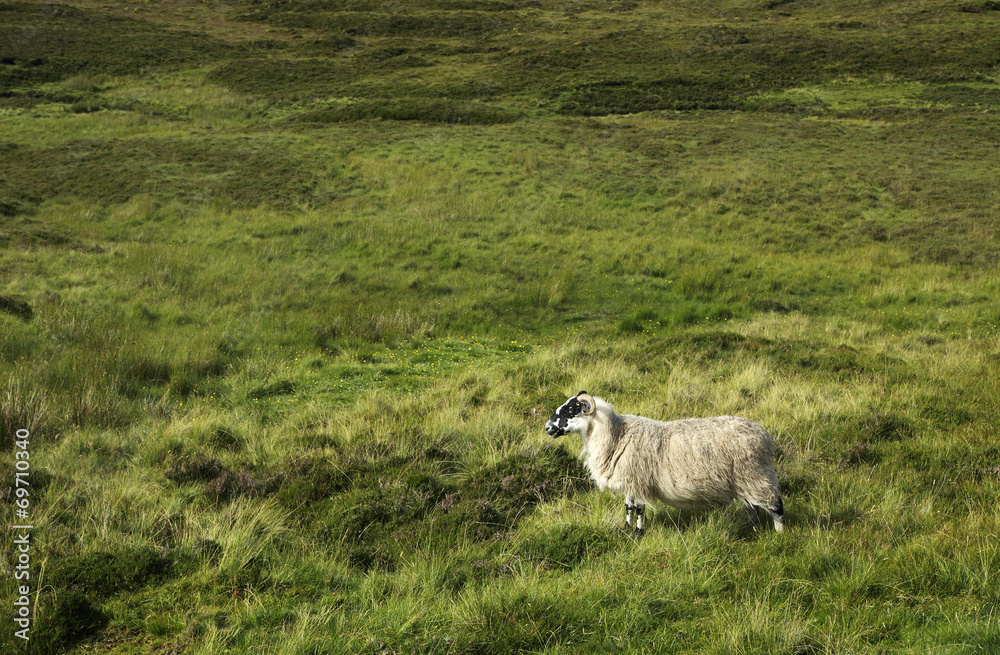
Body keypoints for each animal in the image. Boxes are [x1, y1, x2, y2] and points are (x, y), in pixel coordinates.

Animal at [544, 391, 783, 534]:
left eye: (572, 409)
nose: (547, 428)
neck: (616, 435)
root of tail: (764, 435)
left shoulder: (638, 479)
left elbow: (639, 509)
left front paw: (638, 533)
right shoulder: (629, 480)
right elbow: (628, 506)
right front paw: (627, 530)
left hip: (756, 474)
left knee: (776, 505)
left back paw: (779, 535)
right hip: (746, 480)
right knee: (752, 506)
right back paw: (754, 528)